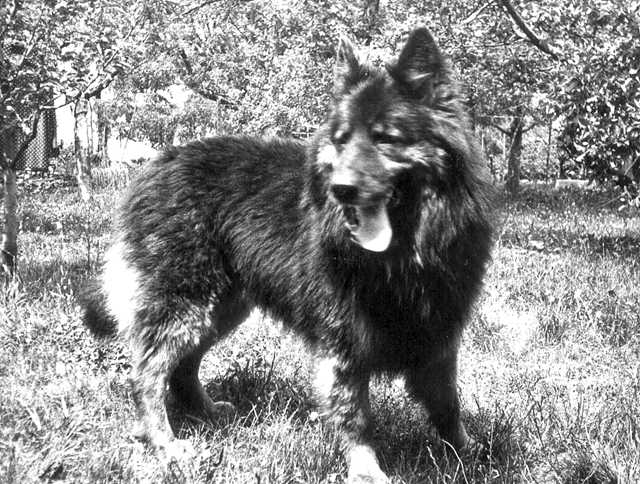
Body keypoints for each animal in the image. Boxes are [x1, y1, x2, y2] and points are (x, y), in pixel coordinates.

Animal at [81, 27, 493, 483]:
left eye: (386, 138)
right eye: (341, 141)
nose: (341, 190)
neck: (404, 252)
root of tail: (158, 163)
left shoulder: (438, 333)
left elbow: (448, 405)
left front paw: (465, 450)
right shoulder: (342, 345)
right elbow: (355, 417)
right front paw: (366, 470)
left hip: (223, 307)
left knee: (183, 366)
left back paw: (205, 412)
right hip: (184, 304)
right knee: (148, 374)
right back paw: (165, 442)